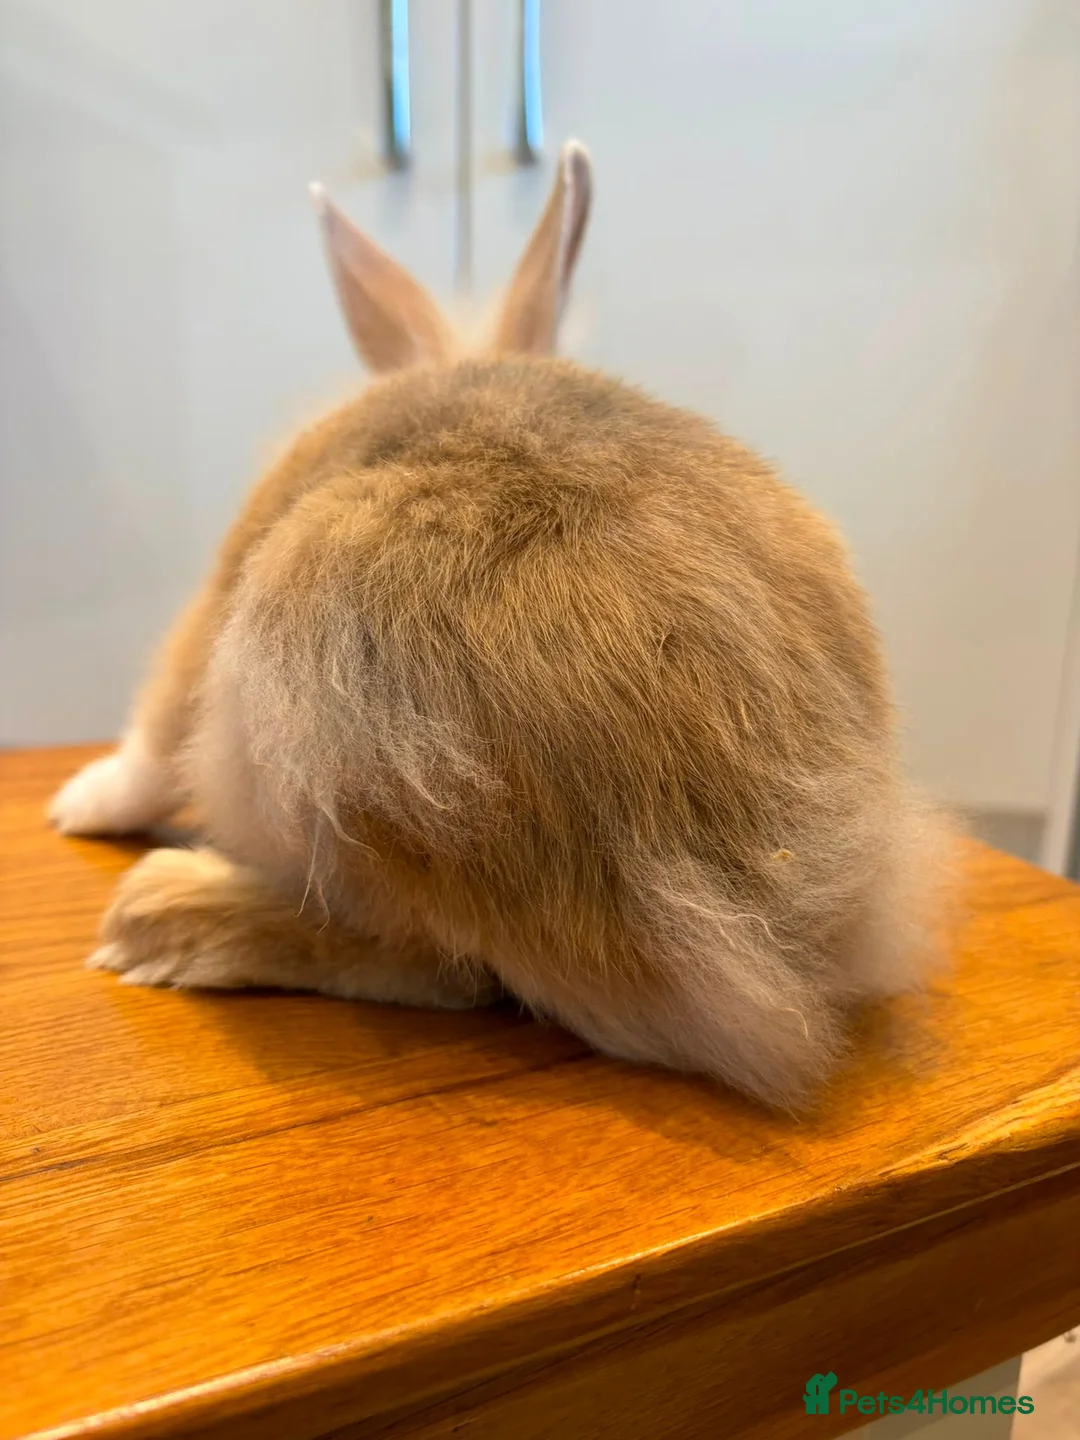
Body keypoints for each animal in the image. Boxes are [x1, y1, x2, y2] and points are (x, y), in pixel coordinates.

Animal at [49, 141, 952, 1109]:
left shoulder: (213, 607)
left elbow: (152, 734)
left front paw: (78, 807)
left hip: (321, 715)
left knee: (444, 968)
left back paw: (165, 914)